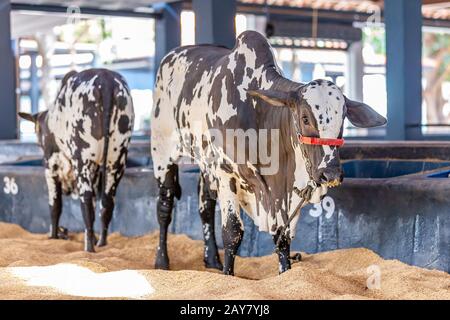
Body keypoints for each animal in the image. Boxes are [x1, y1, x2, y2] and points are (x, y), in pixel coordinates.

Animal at [18, 69, 134, 252]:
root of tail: (106, 80)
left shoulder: (50, 167)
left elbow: (55, 205)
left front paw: (53, 237)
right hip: (117, 160)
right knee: (106, 202)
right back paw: (100, 243)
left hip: (83, 160)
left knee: (86, 201)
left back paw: (89, 249)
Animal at [152, 30, 386, 276]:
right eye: (305, 118)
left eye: (342, 119)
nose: (330, 174)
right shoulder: (226, 173)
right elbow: (232, 232)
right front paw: (228, 275)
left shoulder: (282, 195)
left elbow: (282, 237)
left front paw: (285, 272)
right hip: (163, 151)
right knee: (165, 206)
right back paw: (162, 262)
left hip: (205, 163)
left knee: (205, 206)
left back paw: (212, 260)